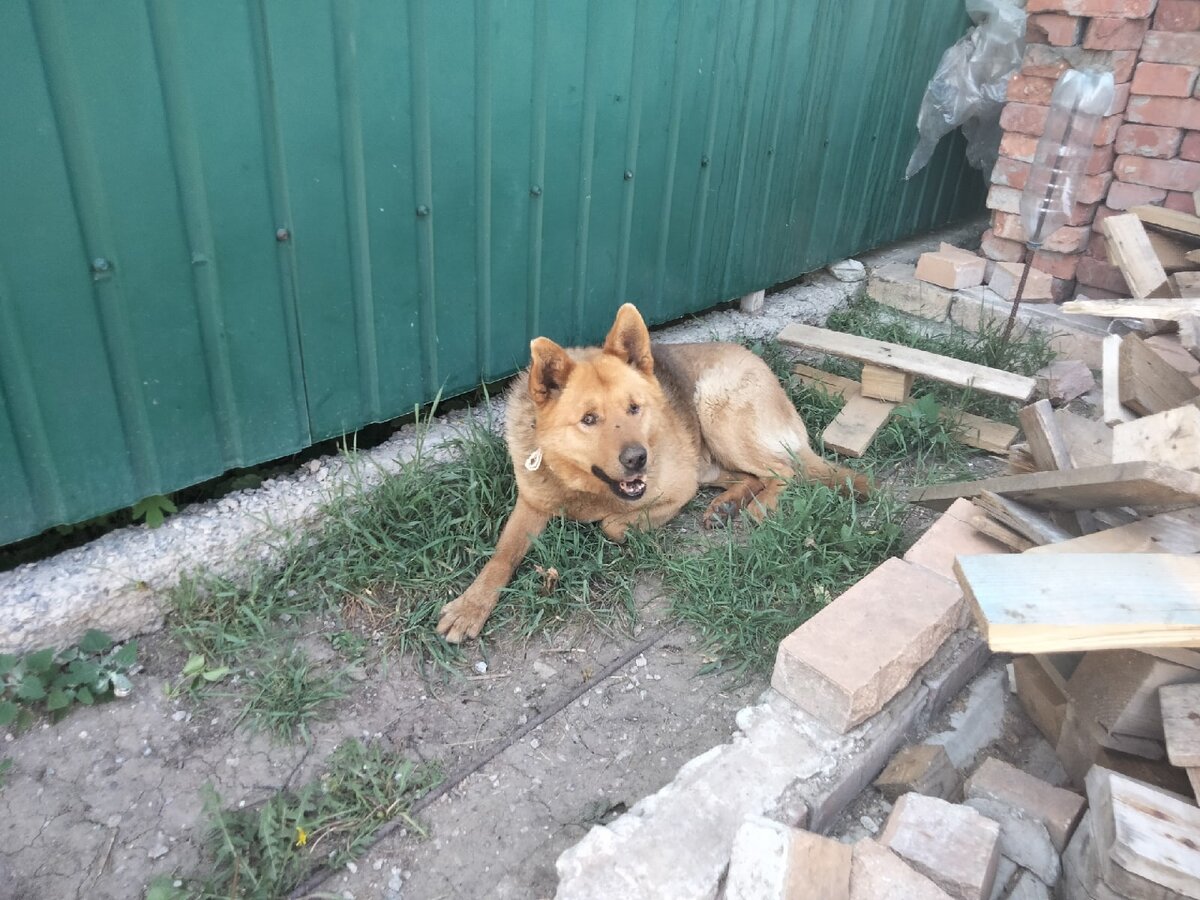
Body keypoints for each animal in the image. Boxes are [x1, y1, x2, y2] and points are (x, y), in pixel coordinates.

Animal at [436, 307, 868, 643]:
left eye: (634, 408)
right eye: (588, 419)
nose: (637, 459)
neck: (582, 483)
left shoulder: (676, 490)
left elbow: (611, 524)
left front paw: (615, 521)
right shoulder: (532, 504)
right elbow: (501, 556)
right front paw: (471, 606)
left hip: (718, 414)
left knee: (786, 469)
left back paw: (760, 506)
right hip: (710, 457)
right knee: (750, 475)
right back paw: (728, 505)